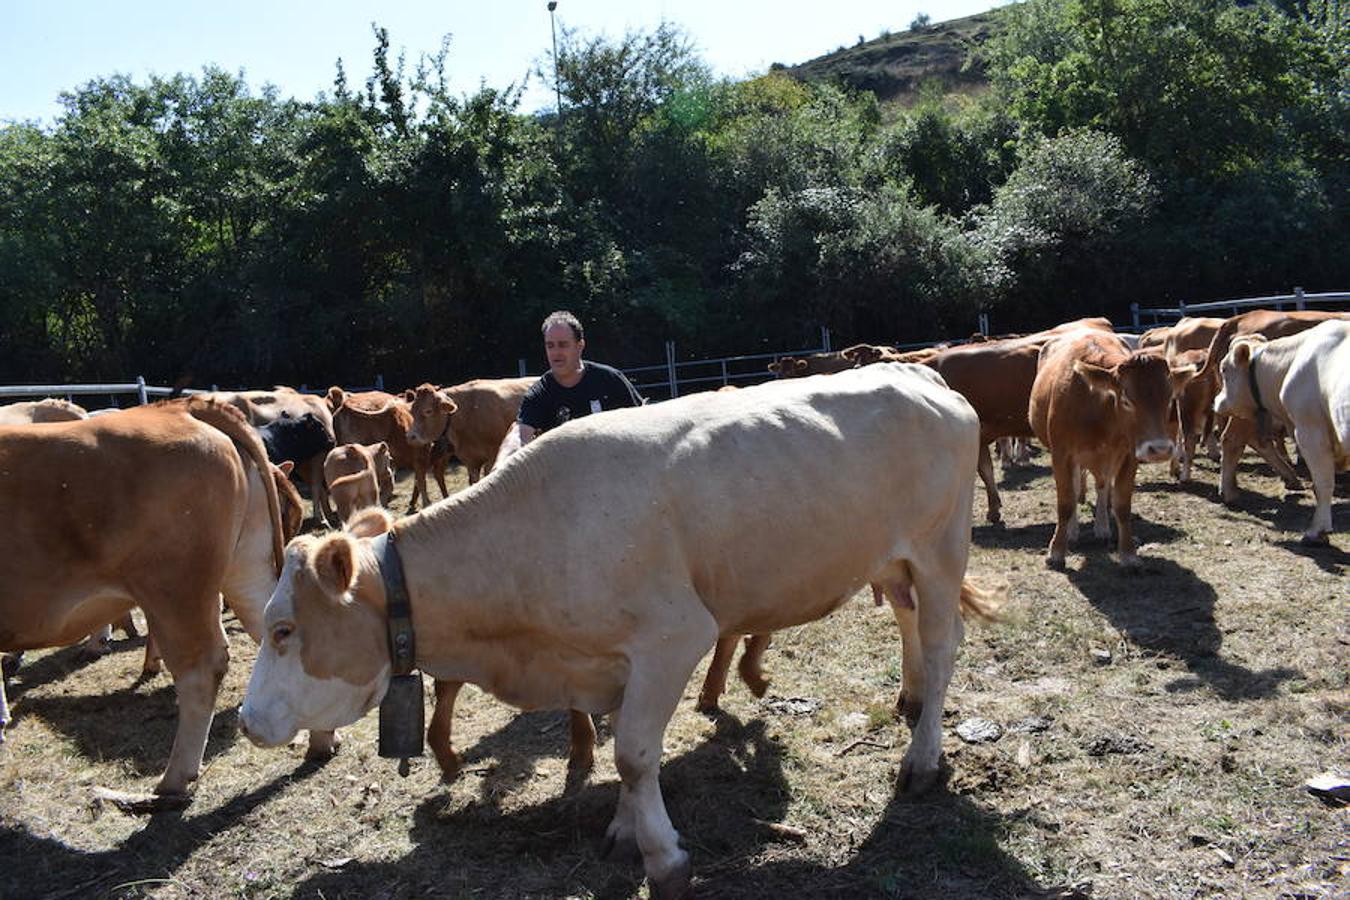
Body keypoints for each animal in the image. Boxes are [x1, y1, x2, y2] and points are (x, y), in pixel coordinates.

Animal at [240, 361, 1004, 895]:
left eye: (284, 629)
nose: (246, 721)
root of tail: (915, 371)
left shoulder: (674, 636)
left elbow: (635, 754)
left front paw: (663, 857)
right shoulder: (605, 661)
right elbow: (617, 751)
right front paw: (623, 829)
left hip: (941, 546)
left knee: (942, 647)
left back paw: (922, 759)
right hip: (893, 556)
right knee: (908, 620)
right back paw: (908, 702)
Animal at [1026, 330, 1198, 569]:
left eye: (1170, 398)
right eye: (1126, 400)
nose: (1160, 449)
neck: (1098, 408)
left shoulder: (1129, 454)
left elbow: (1122, 505)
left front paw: (1128, 553)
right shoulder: (1061, 453)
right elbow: (1066, 502)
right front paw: (1057, 551)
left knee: (1103, 485)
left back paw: (1102, 527)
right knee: (1077, 485)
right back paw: (1073, 531)